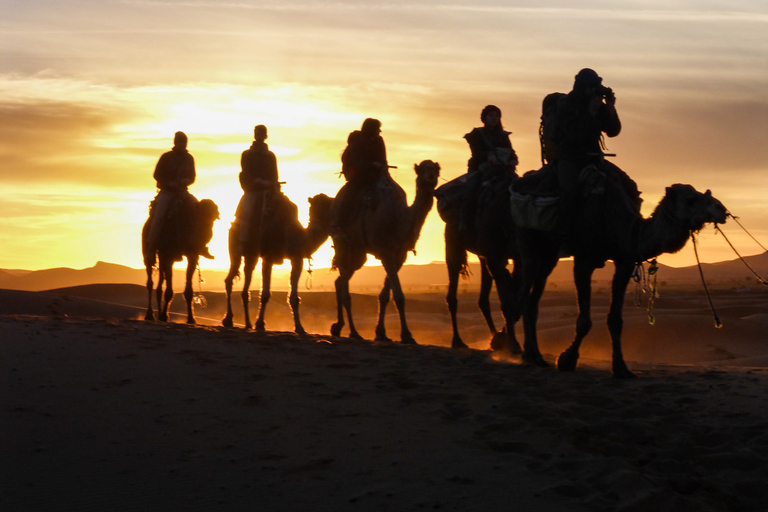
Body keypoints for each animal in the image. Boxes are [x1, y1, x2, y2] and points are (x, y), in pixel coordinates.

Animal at [219, 192, 332, 332]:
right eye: (326, 204)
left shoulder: (297, 259)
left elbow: (294, 298)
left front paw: (299, 327)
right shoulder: (268, 257)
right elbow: (265, 295)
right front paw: (260, 324)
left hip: (251, 256)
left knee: (244, 284)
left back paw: (247, 323)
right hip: (235, 251)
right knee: (229, 280)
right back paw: (228, 319)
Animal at [328, 160, 440, 344]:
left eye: (436, 170)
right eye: (422, 170)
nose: (429, 178)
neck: (398, 221)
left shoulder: (400, 255)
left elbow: (385, 296)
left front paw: (381, 333)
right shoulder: (385, 252)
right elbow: (399, 296)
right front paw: (407, 335)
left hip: (358, 254)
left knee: (339, 281)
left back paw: (338, 327)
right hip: (342, 244)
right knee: (344, 288)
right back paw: (353, 332)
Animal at [438, 173, 520, 352]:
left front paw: (502, 339)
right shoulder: (496, 257)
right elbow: (508, 302)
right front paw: (512, 344)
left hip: (483, 256)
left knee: (483, 299)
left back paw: (495, 337)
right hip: (453, 243)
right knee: (452, 294)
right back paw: (458, 341)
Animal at [512, 170, 728, 378]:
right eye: (690, 199)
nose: (721, 209)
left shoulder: (624, 262)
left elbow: (615, 320)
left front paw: (621, 368)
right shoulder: (583, 260)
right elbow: (584, 321)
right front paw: (567, 359)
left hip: (549, 253)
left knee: (534, 299)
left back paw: (534, 354)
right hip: (526, 238)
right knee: (523, 294)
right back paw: (528, 354)